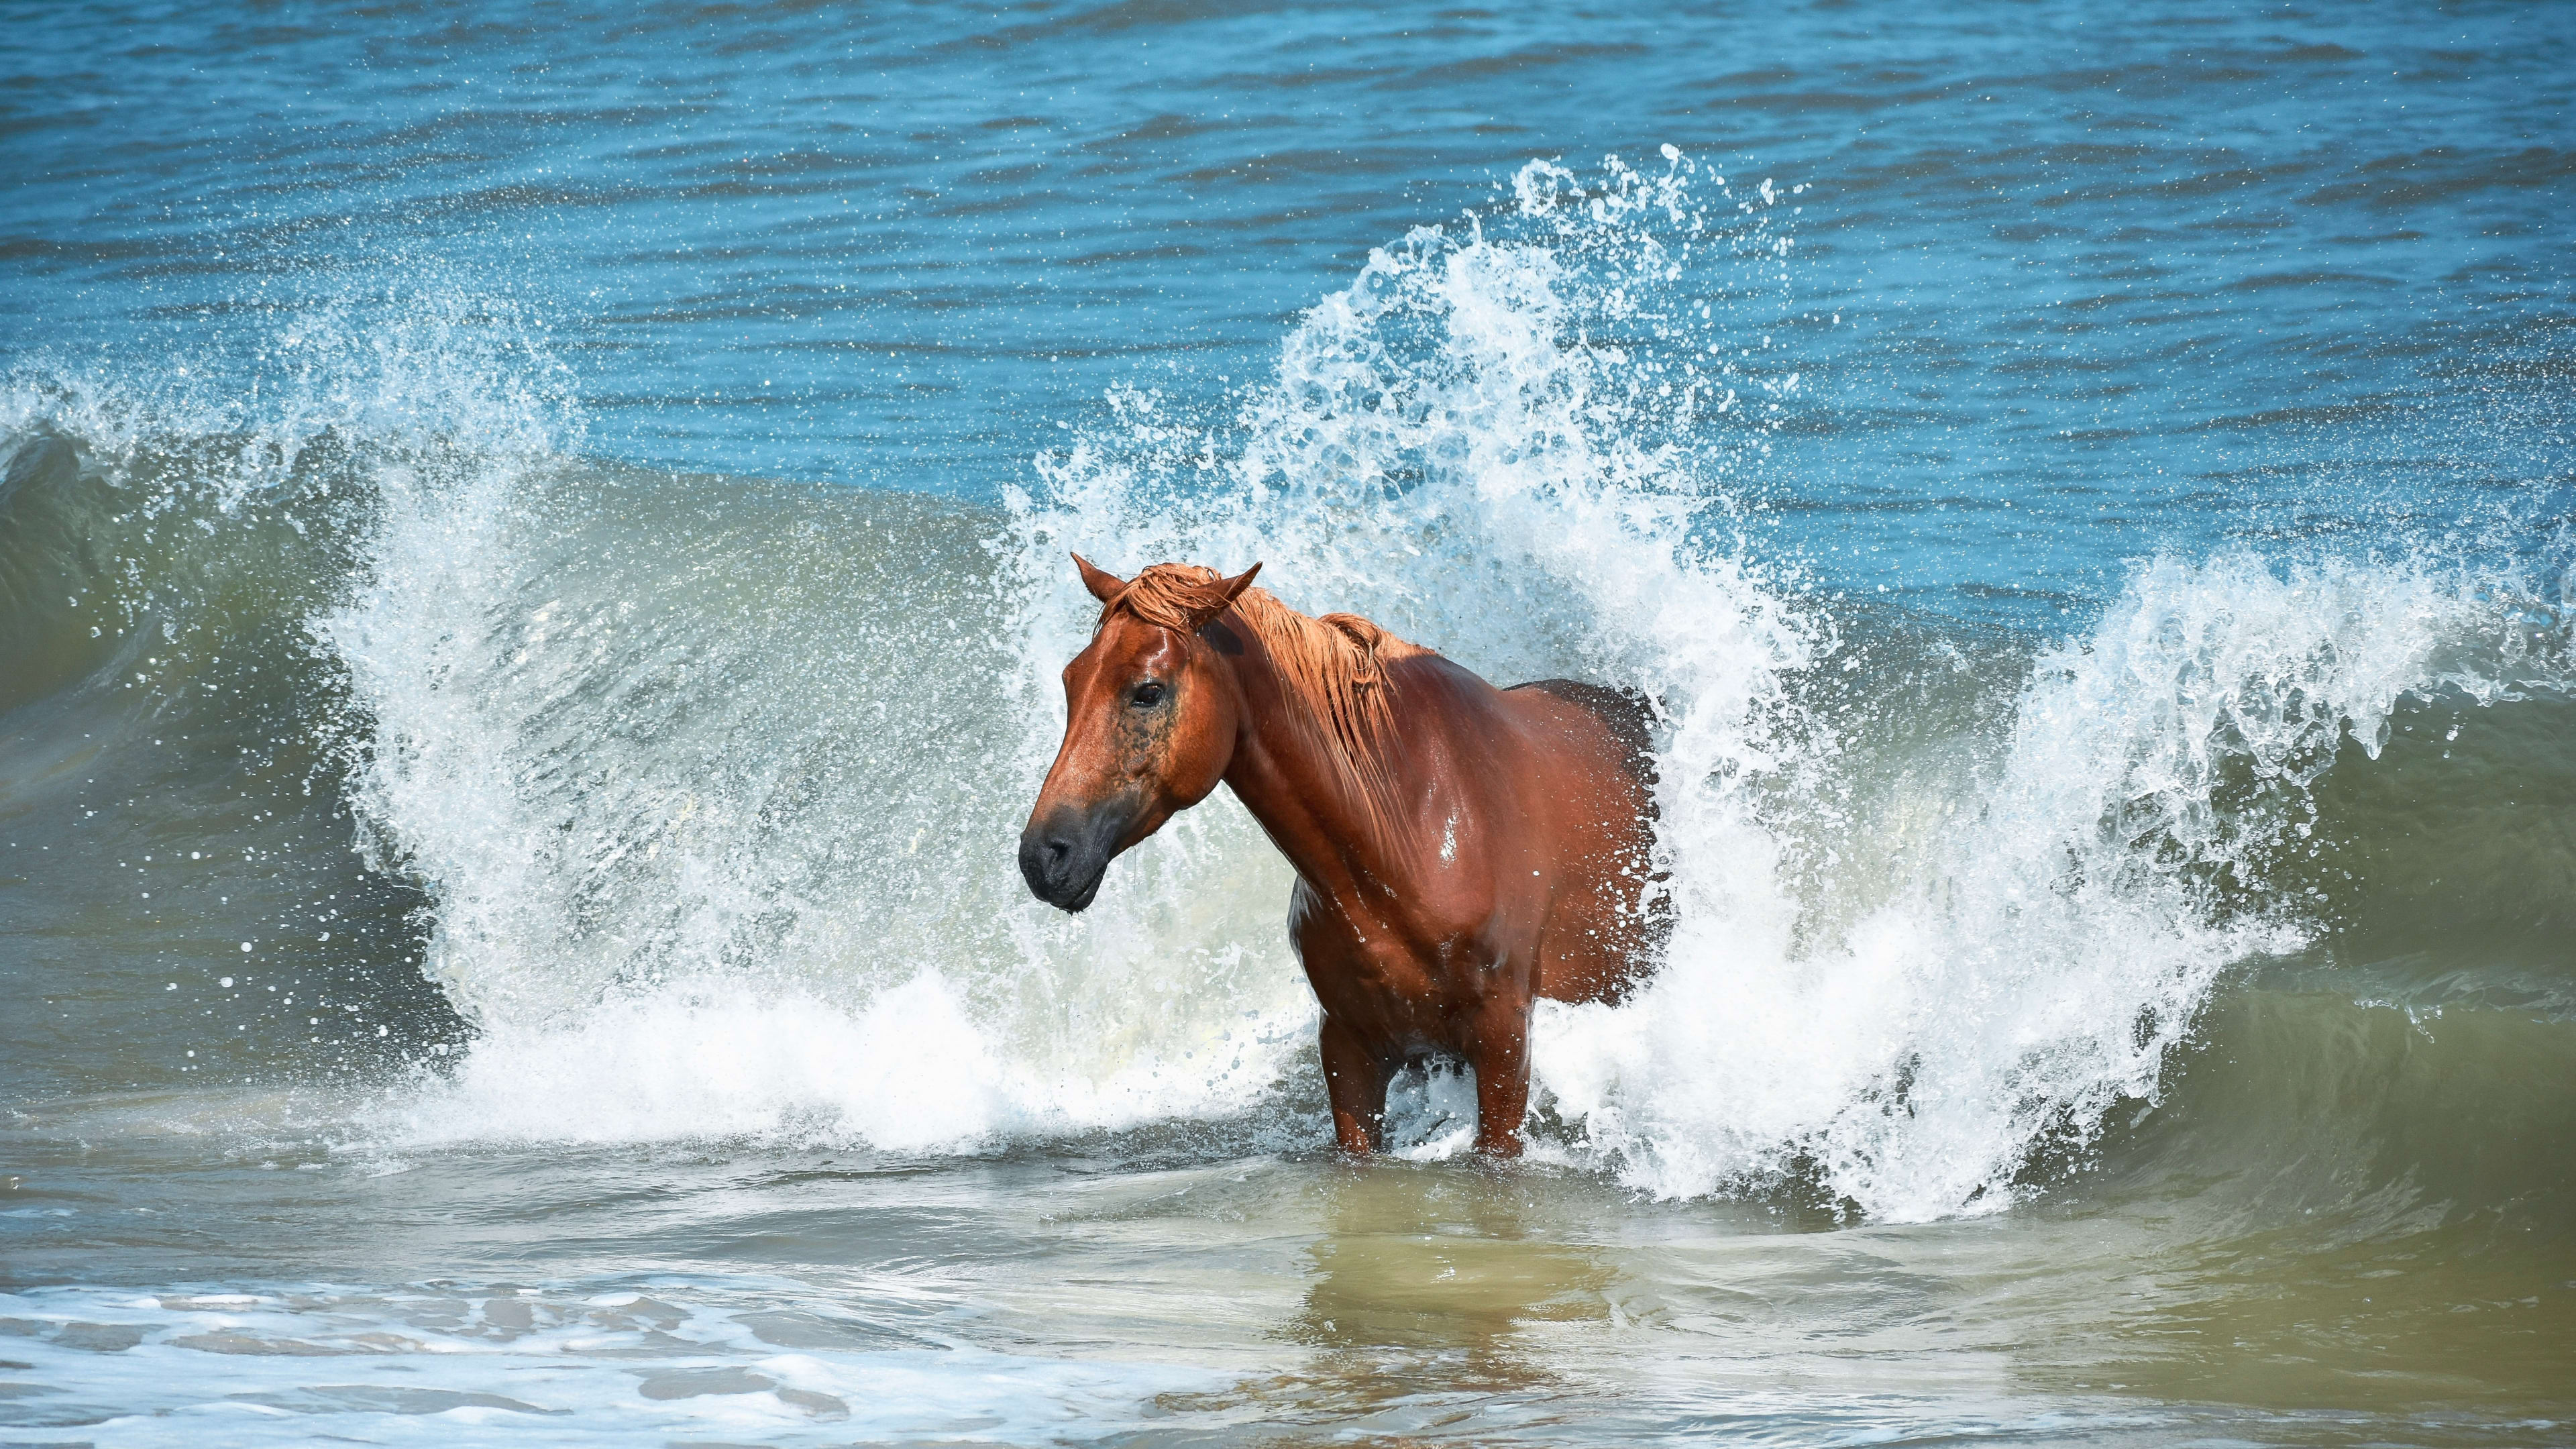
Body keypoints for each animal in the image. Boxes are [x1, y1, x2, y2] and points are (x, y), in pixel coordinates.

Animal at [1017, 555, 1664, 1156]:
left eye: (1148, 692)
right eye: (1072, 681)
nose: (1043, 857)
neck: (1408, 831)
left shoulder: (1504, 1048)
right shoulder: (1351, 1053)